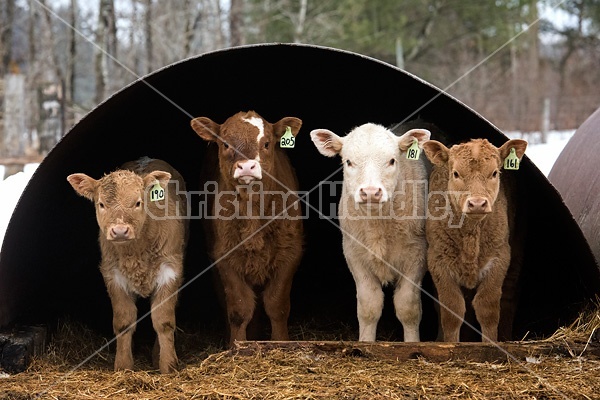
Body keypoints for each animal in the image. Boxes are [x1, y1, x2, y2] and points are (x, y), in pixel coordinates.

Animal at [66, 156, 189, 372]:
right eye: (101, 204)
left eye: (138, 202)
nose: (120, 231)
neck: (136, 253)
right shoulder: (113, 274)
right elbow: (123, 322)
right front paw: (123, 367)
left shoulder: (171, 270)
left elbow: (163, 320)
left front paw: (168, 366)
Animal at [191, 111, 304, 346]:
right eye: (225, 144)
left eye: (267, 143)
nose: (246, 167)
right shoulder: (224, 256)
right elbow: (239, 309)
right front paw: (237, 345)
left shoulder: (291, 252)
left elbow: (277, 305)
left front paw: (280, 342)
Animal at [422, 139, 524, 342]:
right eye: (455, 173)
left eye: (494, 173)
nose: (477, 204)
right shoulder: (437, 261)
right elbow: (452, 310)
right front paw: (449, 343)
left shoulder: (499, 259)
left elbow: (487, 309)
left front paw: (490, 343)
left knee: (508, 300)